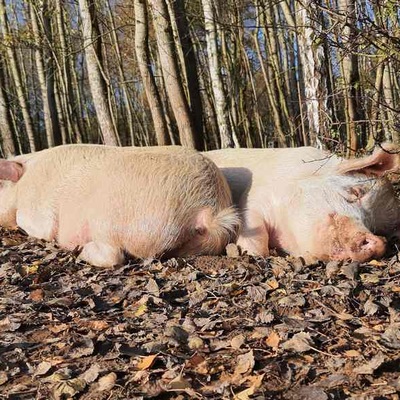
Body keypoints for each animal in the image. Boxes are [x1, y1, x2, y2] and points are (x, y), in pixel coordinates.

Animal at [0, 145, 239, 268]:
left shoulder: (37, 213)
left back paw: (79, 250)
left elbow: (39, 228)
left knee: (114, 255)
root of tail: (209, 209)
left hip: (109, 219)